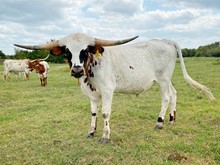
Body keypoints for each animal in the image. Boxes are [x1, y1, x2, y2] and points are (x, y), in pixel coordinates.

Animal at [14, 32, 216, 143]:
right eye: (67, 51)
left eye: (86, 49)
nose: (77, 70)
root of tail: (166, 41)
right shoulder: (92, 94)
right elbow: (93, 113)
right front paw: (91, 132)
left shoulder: (107, 91)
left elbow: (105, 113)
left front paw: (105, 136)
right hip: (165, 80)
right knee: (174, 94)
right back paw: (172, 120)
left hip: (163, 78)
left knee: (166, 97)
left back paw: (159, 122)